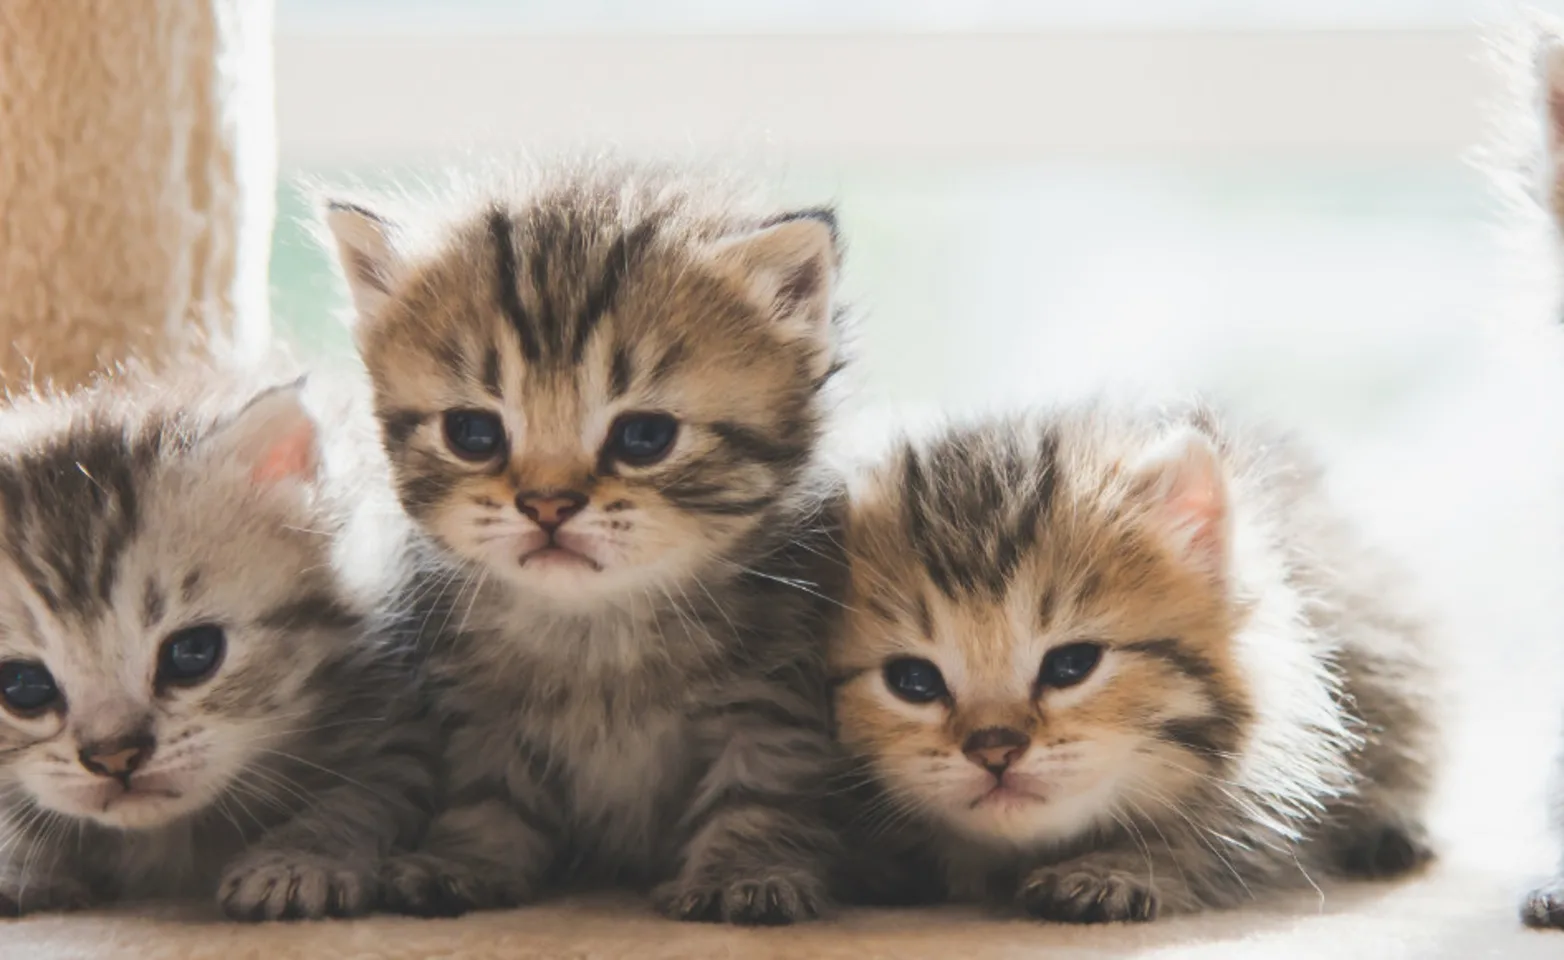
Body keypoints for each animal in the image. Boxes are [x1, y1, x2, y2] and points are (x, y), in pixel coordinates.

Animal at [0, 379, 434, 919]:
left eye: (192, 654)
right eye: (22, 686)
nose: (116, 756)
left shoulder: (398, 717)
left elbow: (363, 792)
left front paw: (298, 861)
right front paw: (21, 867)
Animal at [319, 161, 850, 931]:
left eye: (645, 437)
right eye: (473, 433)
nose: (548, 505)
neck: (597, 629)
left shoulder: (771, 695)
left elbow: (758, 786)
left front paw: (743, 870)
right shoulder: (481, 711)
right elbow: (488, 792)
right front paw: (464, 859)